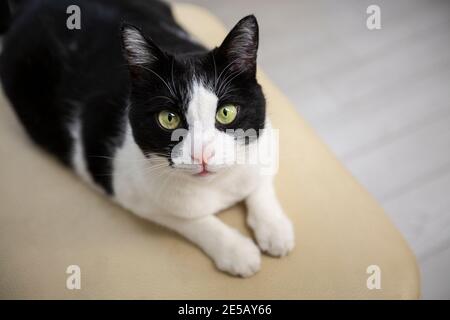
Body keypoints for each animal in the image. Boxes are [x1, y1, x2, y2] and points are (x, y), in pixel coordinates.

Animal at [0, 0, 296, 278]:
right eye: (169, 118)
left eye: (226, 112)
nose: (201, 154)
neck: (217, 186)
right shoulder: (130, 190)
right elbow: (189, 219)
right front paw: (236, 250)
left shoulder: (266, 138)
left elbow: (260, 181)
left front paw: (275, 228)